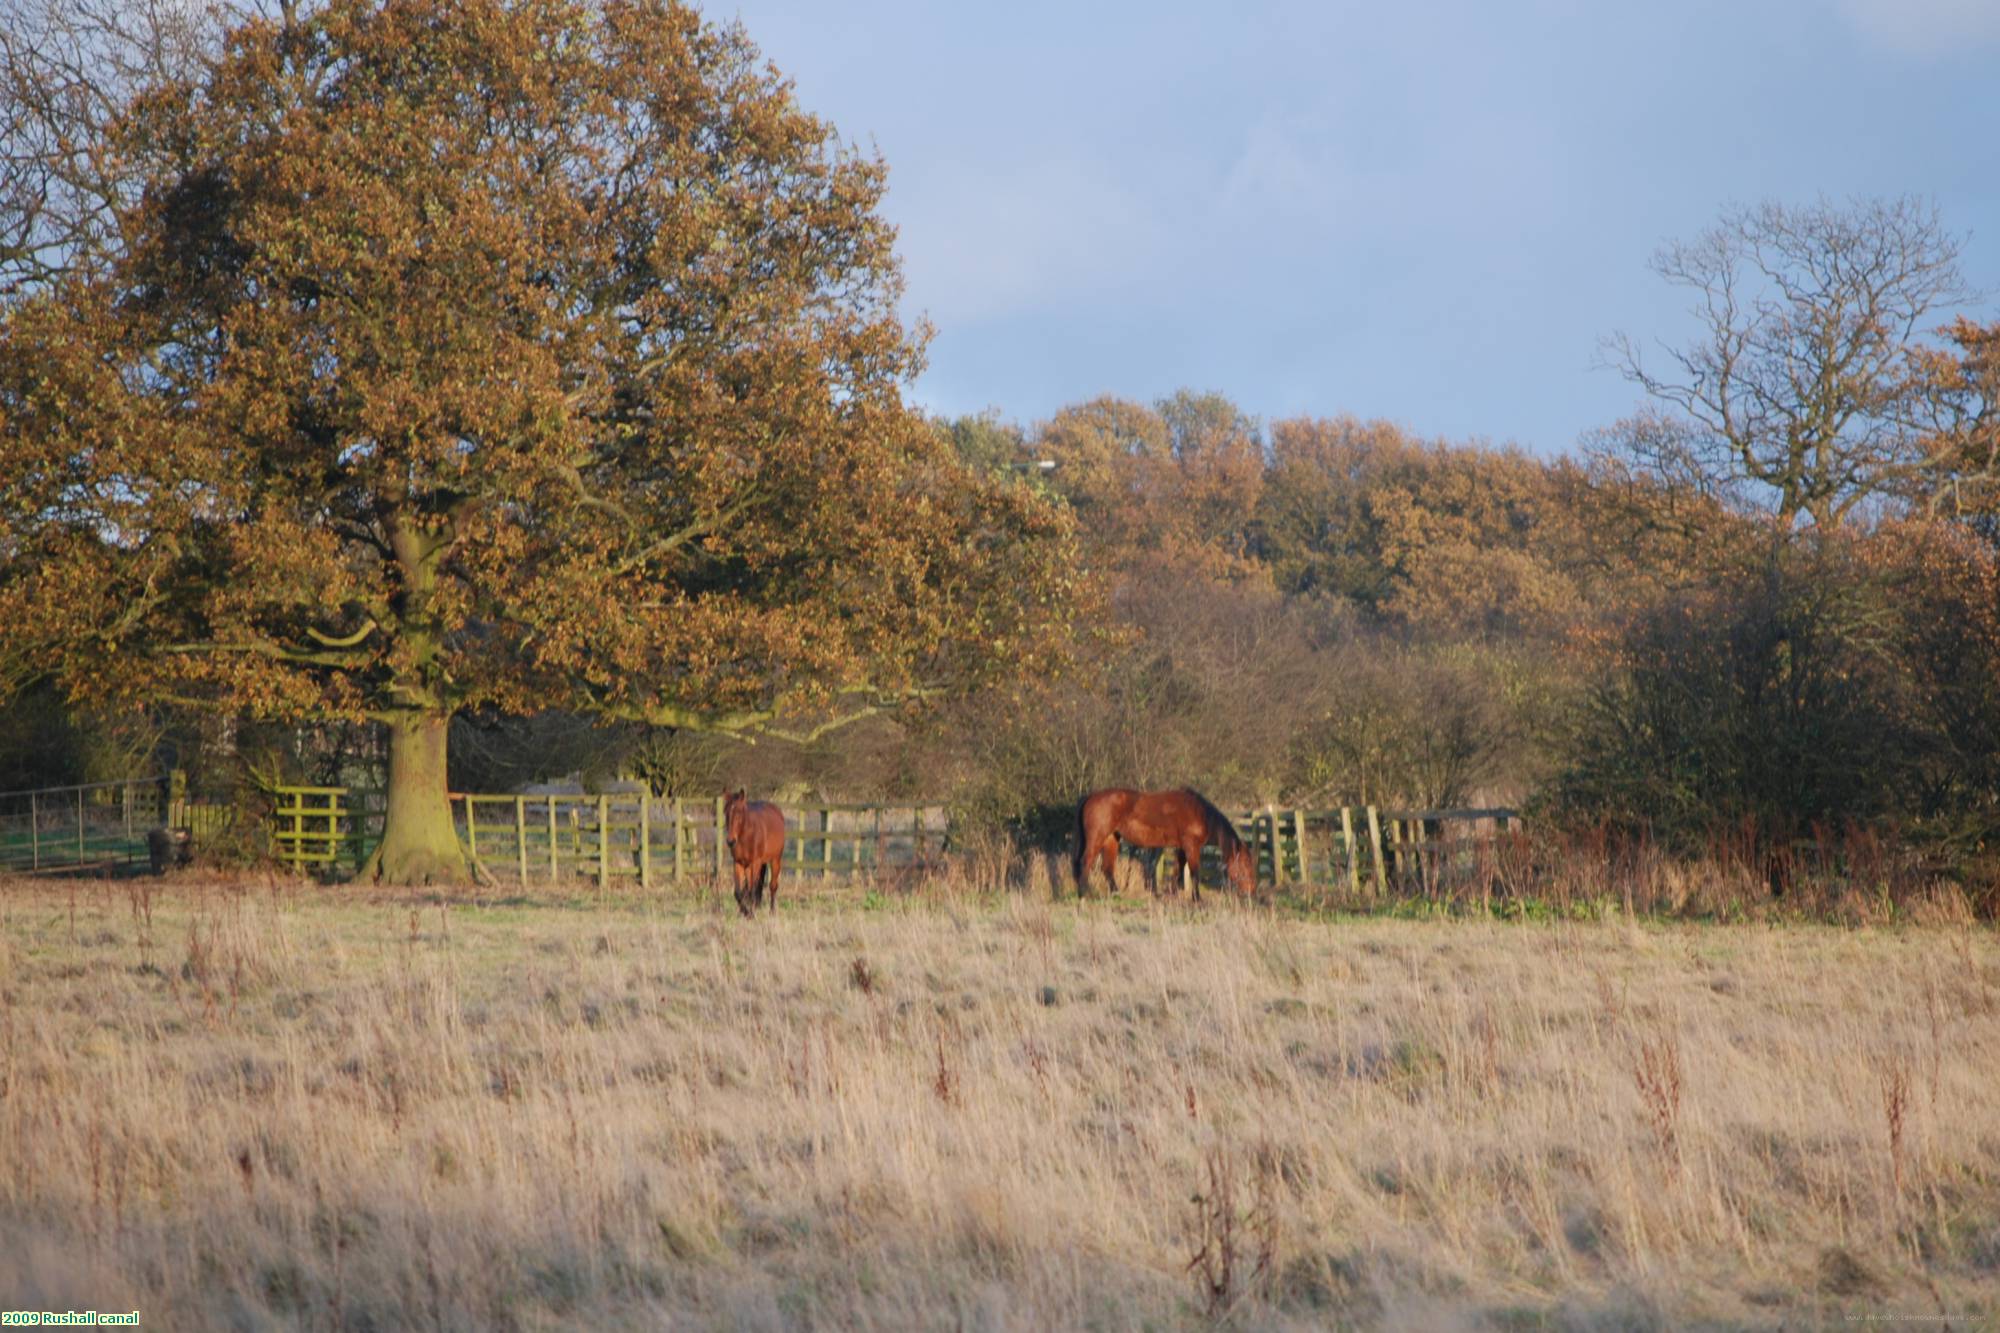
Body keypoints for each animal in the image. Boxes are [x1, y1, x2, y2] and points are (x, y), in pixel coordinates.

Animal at [1072, 784, 1256, 896]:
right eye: (1245, 865)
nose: (1251, 891)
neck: (1201, 814)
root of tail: (1090, 797)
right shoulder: (1191, 847)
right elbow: (1194, 872)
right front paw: (1197, 899)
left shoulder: (1182, 848)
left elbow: (1178, 870)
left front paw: (1174, 893)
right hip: (1097, 838)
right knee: (1085, 862)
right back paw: (1085, 893)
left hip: (1111, 839)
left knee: (1107, 868)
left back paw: (1116, 893)